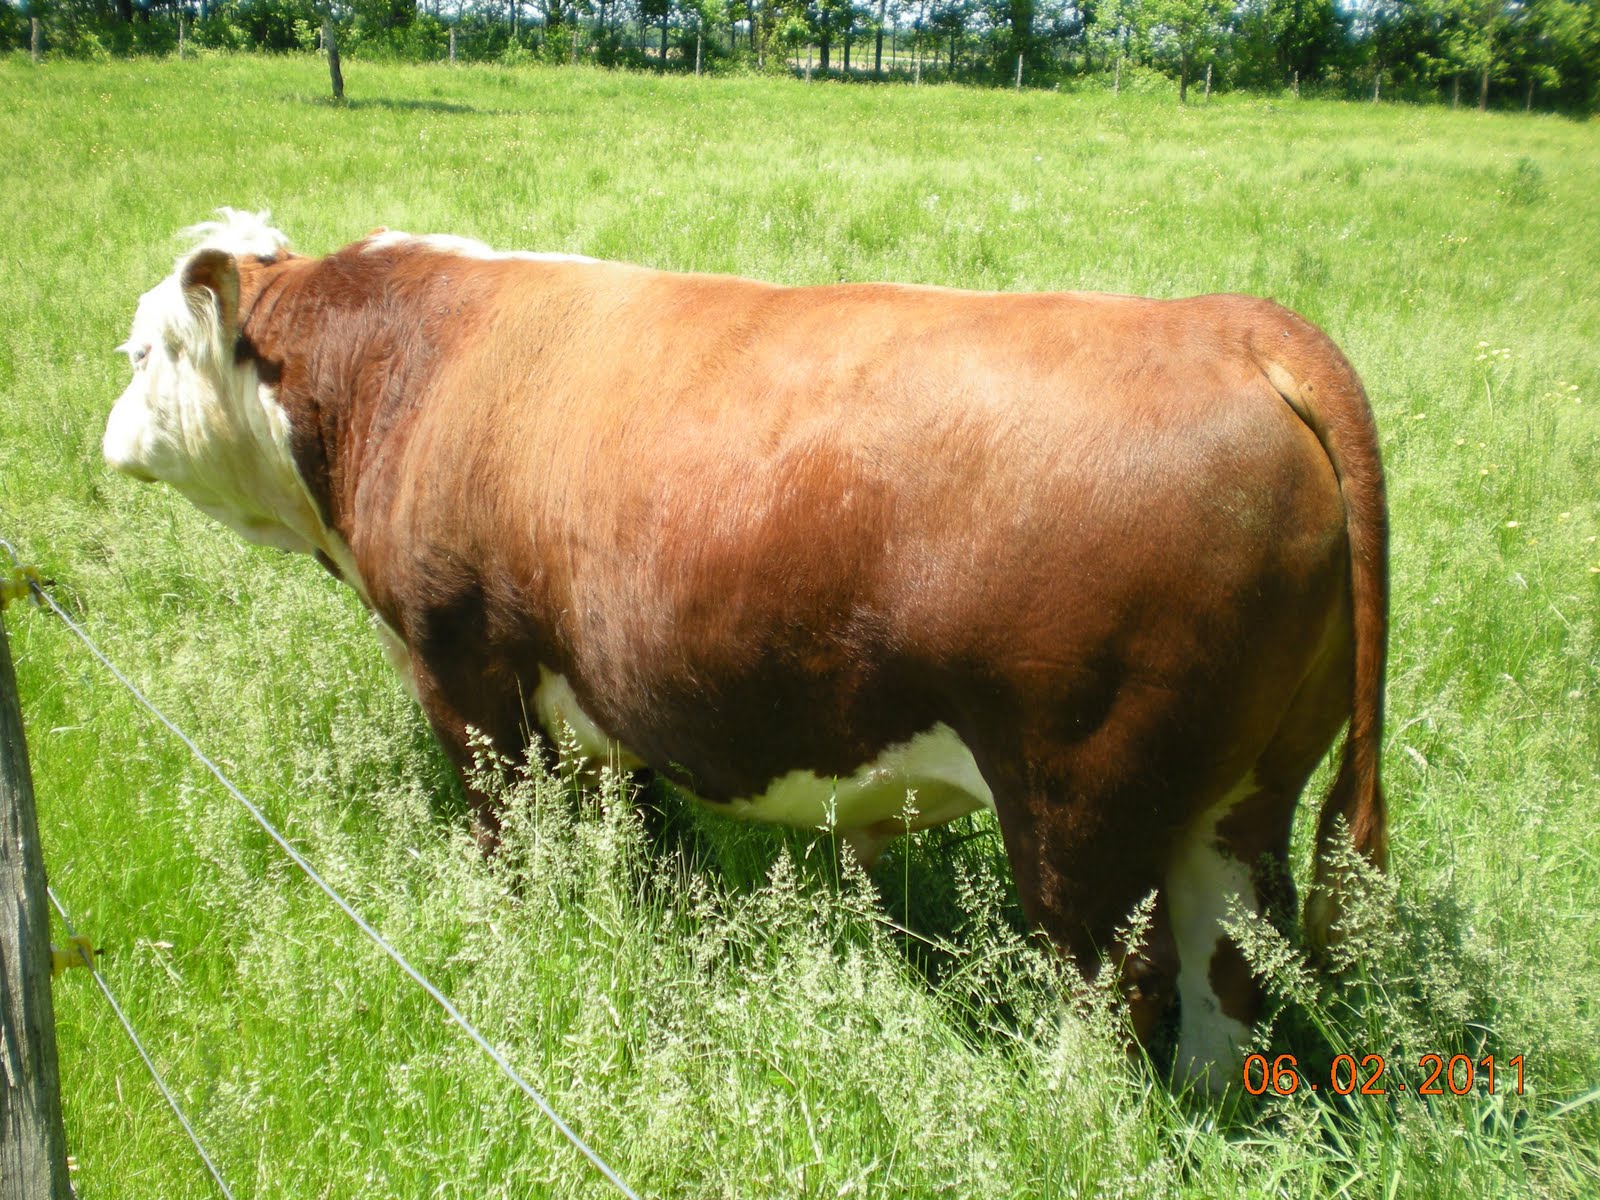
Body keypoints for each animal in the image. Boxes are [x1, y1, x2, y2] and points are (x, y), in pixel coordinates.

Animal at [104, 210, 1388, 1087]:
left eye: (142, 351)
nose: (106, 433)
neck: (410, 369)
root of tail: (1228, 323)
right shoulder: (600, 700)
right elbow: (627, 830)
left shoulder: (462, 670)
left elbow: (505, 833)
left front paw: (506, 924)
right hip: (1239, 800)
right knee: (1230, 967)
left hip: (1079, 810)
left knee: (1120, 986)